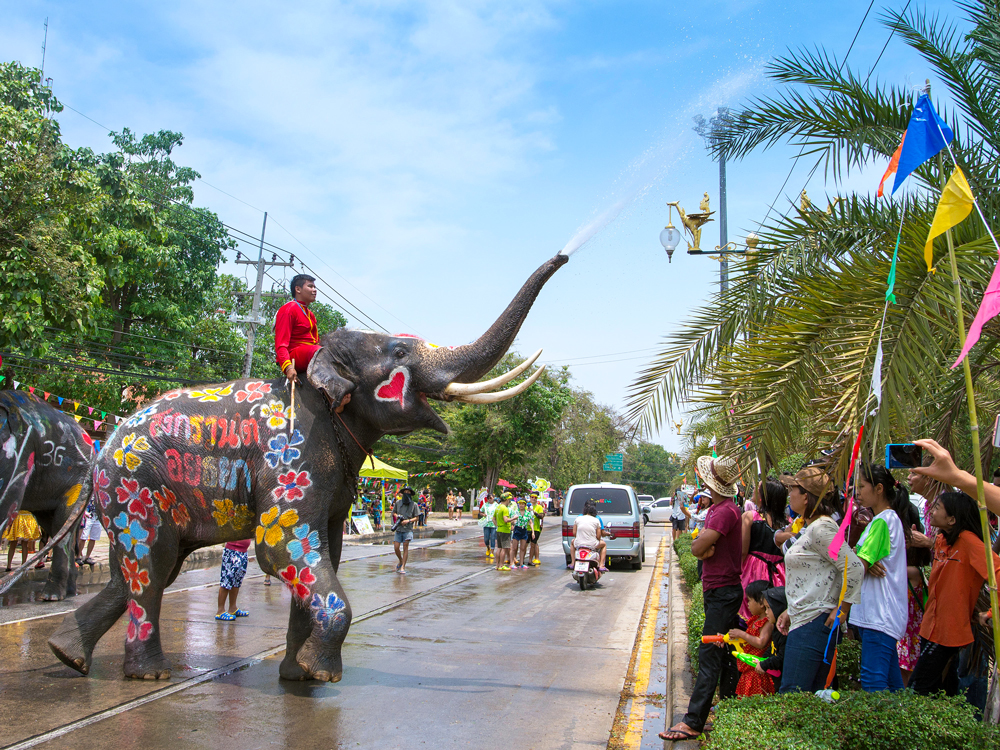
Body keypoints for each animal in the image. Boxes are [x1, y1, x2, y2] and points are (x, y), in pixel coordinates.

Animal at [0, 390, 94, 604]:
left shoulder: (20, 456)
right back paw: (67, 590)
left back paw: (53, 595)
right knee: (55, 527)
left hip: (77, 480)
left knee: (61, 527)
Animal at [48, 251, 572, 680]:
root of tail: (101, 447)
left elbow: (327, 550)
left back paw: (66, 654)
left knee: (147, 569)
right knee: (150, 564)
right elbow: (279, 548)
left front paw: (297, 674)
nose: (564, 255)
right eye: (400, 352)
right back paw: (147, 674)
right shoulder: (292, 459)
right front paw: (322, 674)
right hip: (134, 484)